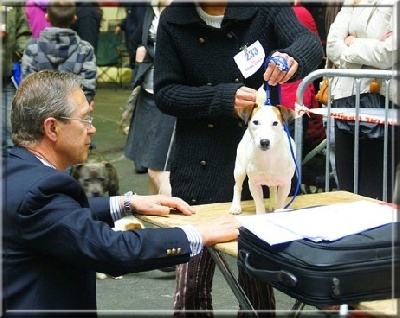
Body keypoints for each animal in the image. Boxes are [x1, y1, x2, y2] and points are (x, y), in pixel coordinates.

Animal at [228, 87, 296, 215]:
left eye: (275, 123)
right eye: (255, 122)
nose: (264, 142)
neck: (268, 157)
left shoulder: (285, 184)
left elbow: (280, 202)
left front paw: (277, 208)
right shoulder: (254, 184)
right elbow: (259, 203)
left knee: (273, 188)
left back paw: (273, 203)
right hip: (239, 169)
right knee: (237, 186)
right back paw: (235, 206)